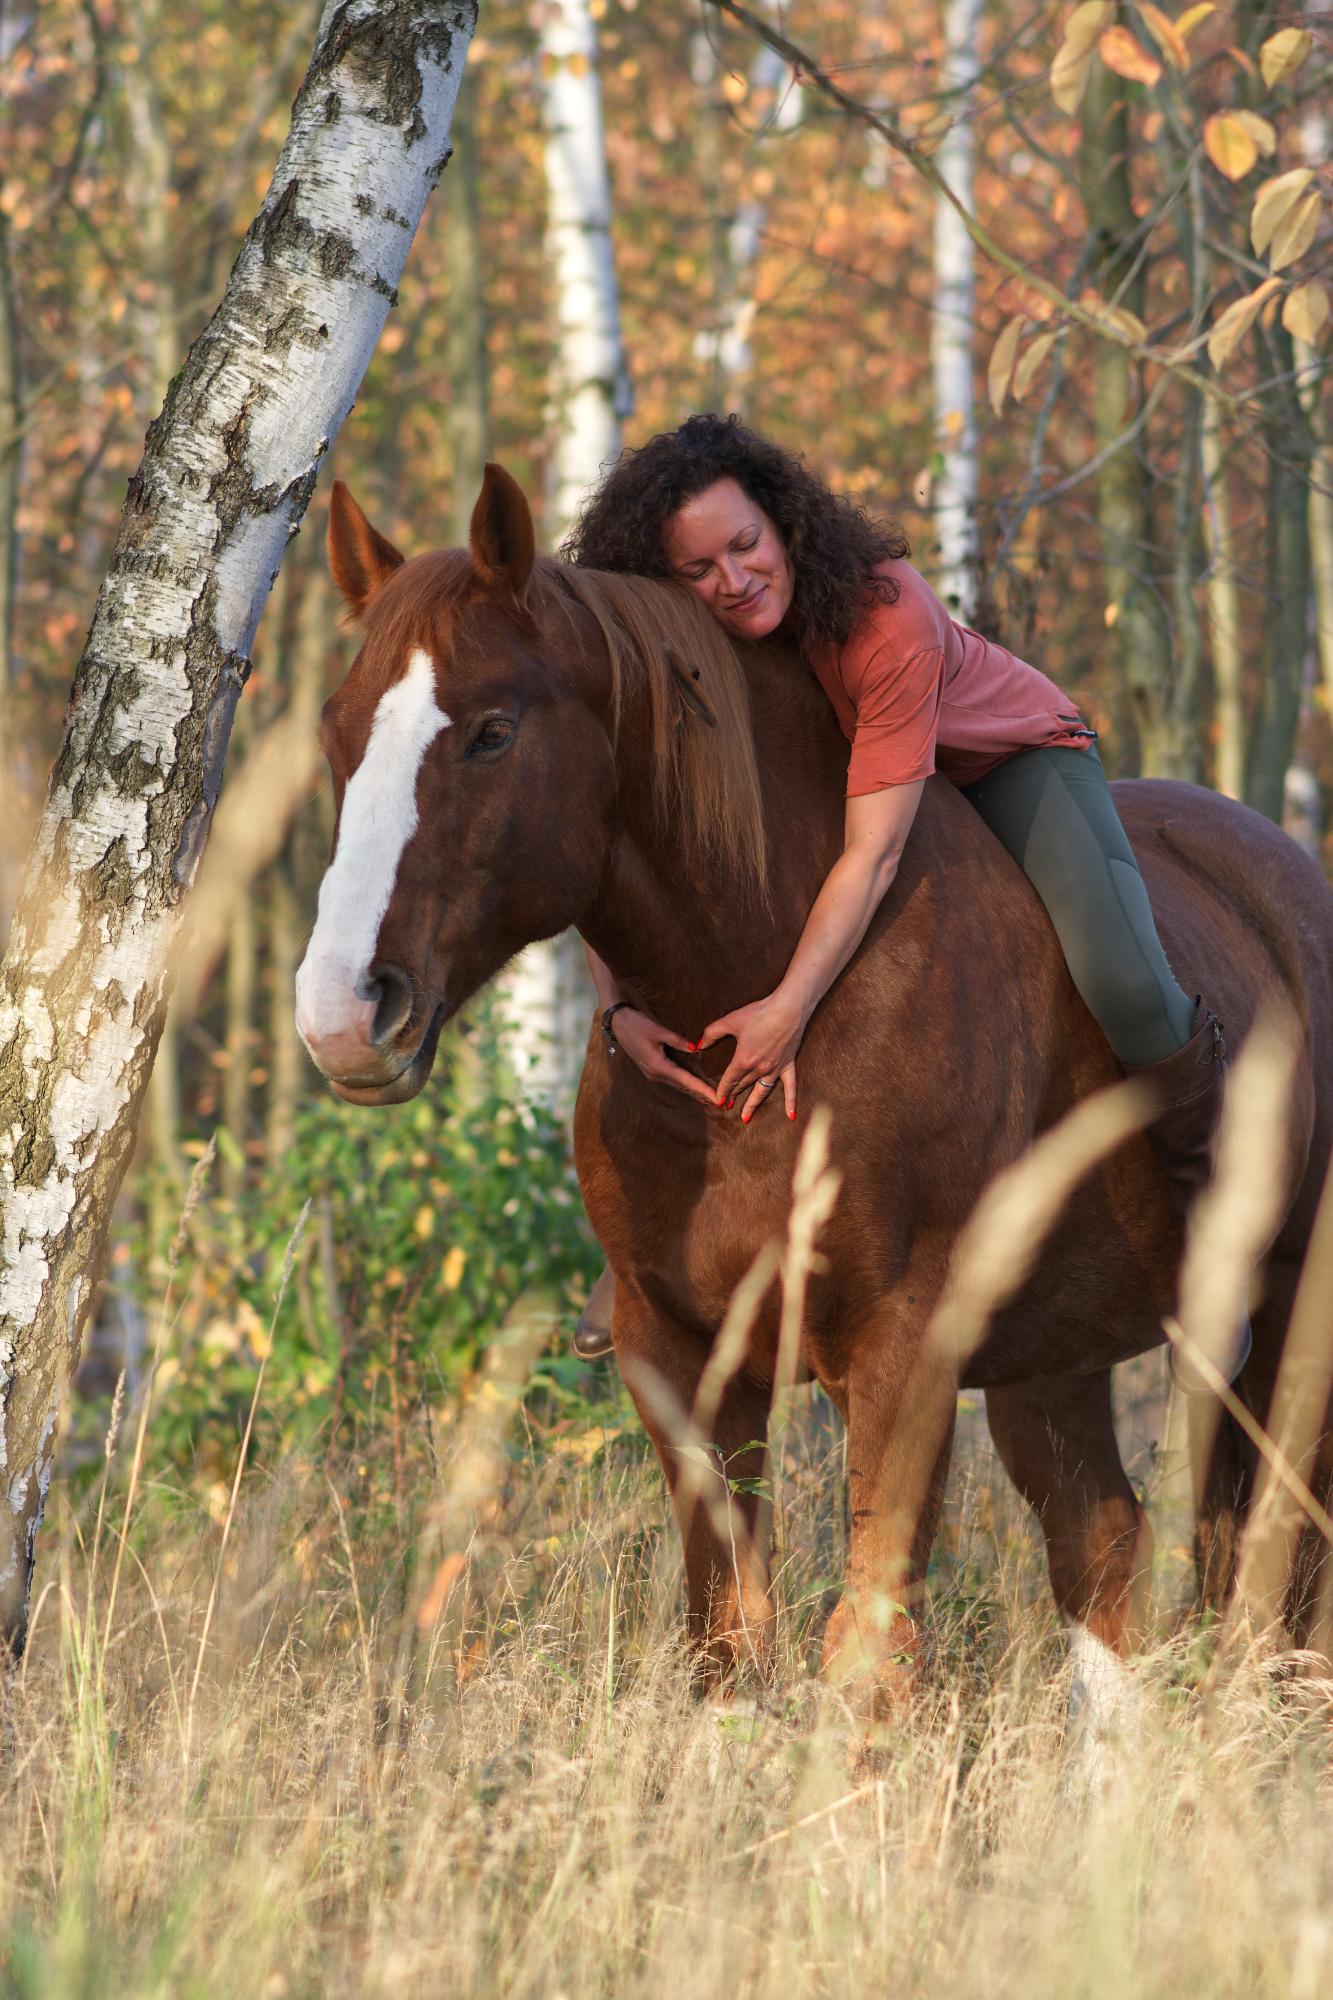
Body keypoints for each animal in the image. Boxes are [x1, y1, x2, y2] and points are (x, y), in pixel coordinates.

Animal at [296, 464, 1328, 1704]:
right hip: (1054, 1361)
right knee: (1105, 1558)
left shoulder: (901, 1350)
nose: (345, 1011)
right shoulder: (675, 1358)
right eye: (336, 730)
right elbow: (730, 1641)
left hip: (1285, 1329)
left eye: (492, 730)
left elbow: (868, 1647)